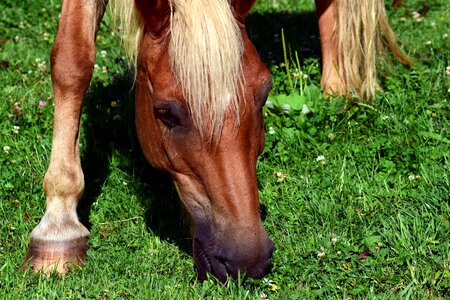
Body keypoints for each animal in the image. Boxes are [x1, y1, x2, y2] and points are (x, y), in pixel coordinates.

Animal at [25, 0, 412, 282]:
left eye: (264, 92)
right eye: (165, 112)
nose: (247, 260)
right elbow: (72, 60)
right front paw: (58, 228)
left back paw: (335, 93)